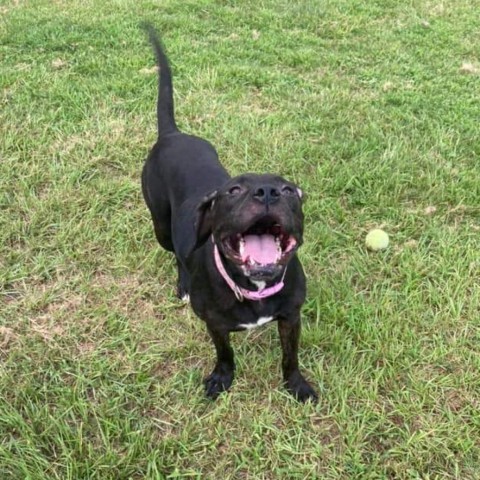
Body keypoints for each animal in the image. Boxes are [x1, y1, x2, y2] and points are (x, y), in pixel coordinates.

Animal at [141, 25, 316, 402]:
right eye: (233, 190)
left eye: (289, 190)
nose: (267, 192)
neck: (254, 288)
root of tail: (172, 134)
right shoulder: (215, 325)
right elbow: (225, 353)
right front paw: (222, 378)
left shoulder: (291, 318)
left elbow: (290, 356)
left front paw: (296, 385)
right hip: (161, 227)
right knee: (176, 253)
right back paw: (183, 284)